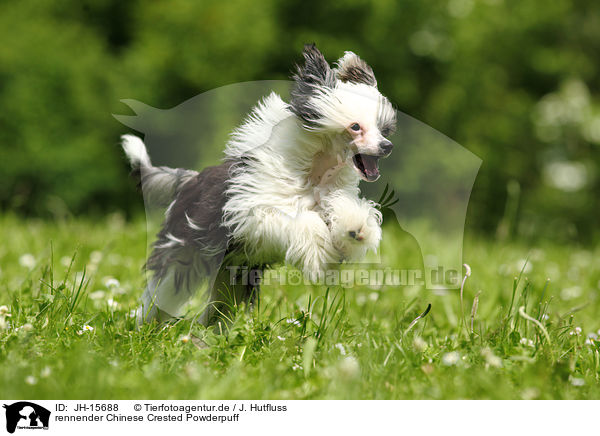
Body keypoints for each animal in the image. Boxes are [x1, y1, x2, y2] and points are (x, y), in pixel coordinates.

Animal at [122, 44, 396, 326]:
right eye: (355, 127)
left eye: (382, 128)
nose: (386, 146)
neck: (314, 173)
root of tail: (190, 180)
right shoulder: (253, 213)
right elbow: (302, 221)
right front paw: (320, 252)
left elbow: (344, 210)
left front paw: (356, 229)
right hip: (183, 255)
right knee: (160, 293)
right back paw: (147, 325)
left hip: (232, 273)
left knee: (218, 307)